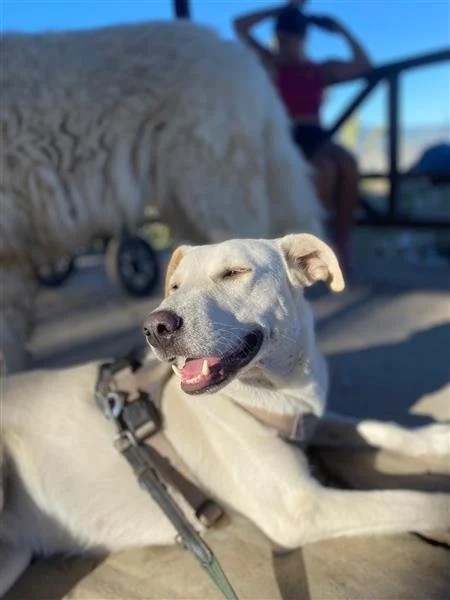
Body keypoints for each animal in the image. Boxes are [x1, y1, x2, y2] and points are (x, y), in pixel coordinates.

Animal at [1, 233, 449, 595]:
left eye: (234, 272)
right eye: (174, 286)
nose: (155, 327)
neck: (282, 388)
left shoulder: (311, 419)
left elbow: (379, 428)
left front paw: (436, 438)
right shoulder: (301, 508)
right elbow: (415, 500)